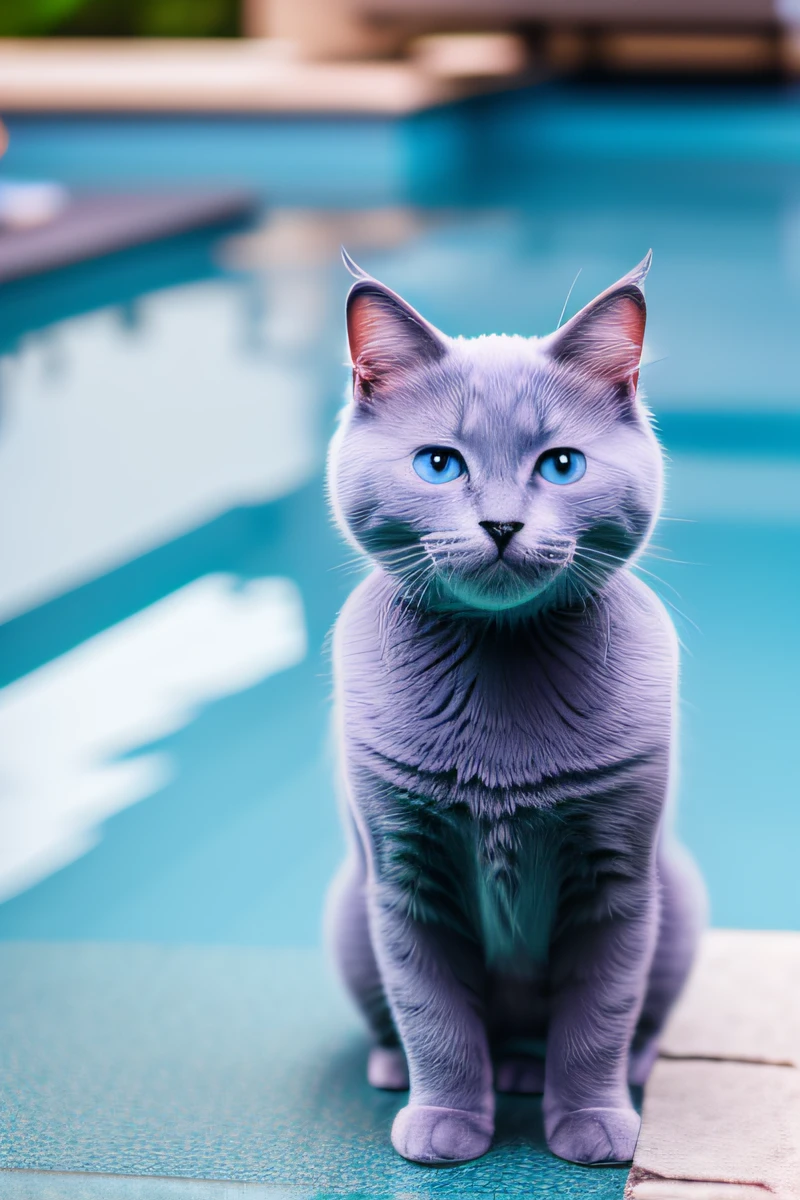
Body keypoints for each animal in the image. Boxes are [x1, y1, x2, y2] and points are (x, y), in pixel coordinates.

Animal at [326, 248, 705, 1166]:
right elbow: (434, 1018)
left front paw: (595, 1124)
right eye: (439, 464)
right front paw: (446, 1125)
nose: (501, 525)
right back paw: (402, 1072)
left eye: (561, 465)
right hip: (347, 914)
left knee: (620, 1025)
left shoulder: (620, 881)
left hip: (680, 901)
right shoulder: (403, 876)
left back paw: (583, 1072)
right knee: (405, 1026)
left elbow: (598, 1017)